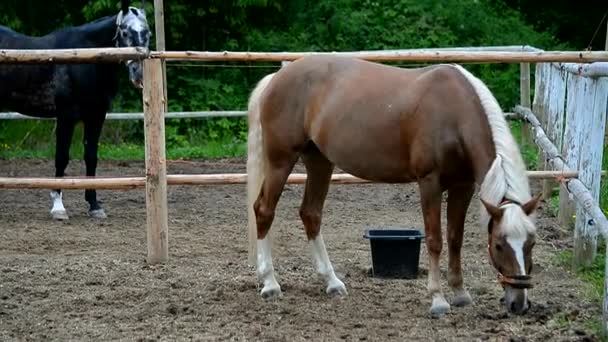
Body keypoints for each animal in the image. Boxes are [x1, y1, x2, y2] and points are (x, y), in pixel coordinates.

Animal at [0, 0, 151, 220]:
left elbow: (91, 157)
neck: (87, 59)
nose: (138, 74)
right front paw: (58, 207)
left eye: (148, 33)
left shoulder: (96, 116)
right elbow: (61, 157)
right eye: (124, 32)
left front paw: (94, 205)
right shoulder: (66, 116)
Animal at [246, 54, 540, 316]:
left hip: (319, 162)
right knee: (264, 211)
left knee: (311, 214)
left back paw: (332, 282)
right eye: (499, 245)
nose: (519, 303)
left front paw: (460, 293)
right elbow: (435, 240)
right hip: (280, 162)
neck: (454, 113)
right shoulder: (429, 183)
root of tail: (278, 77)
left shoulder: (463, 186)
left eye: (531, 243)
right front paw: (438, 299)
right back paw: (270, 283)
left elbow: (455, 238)